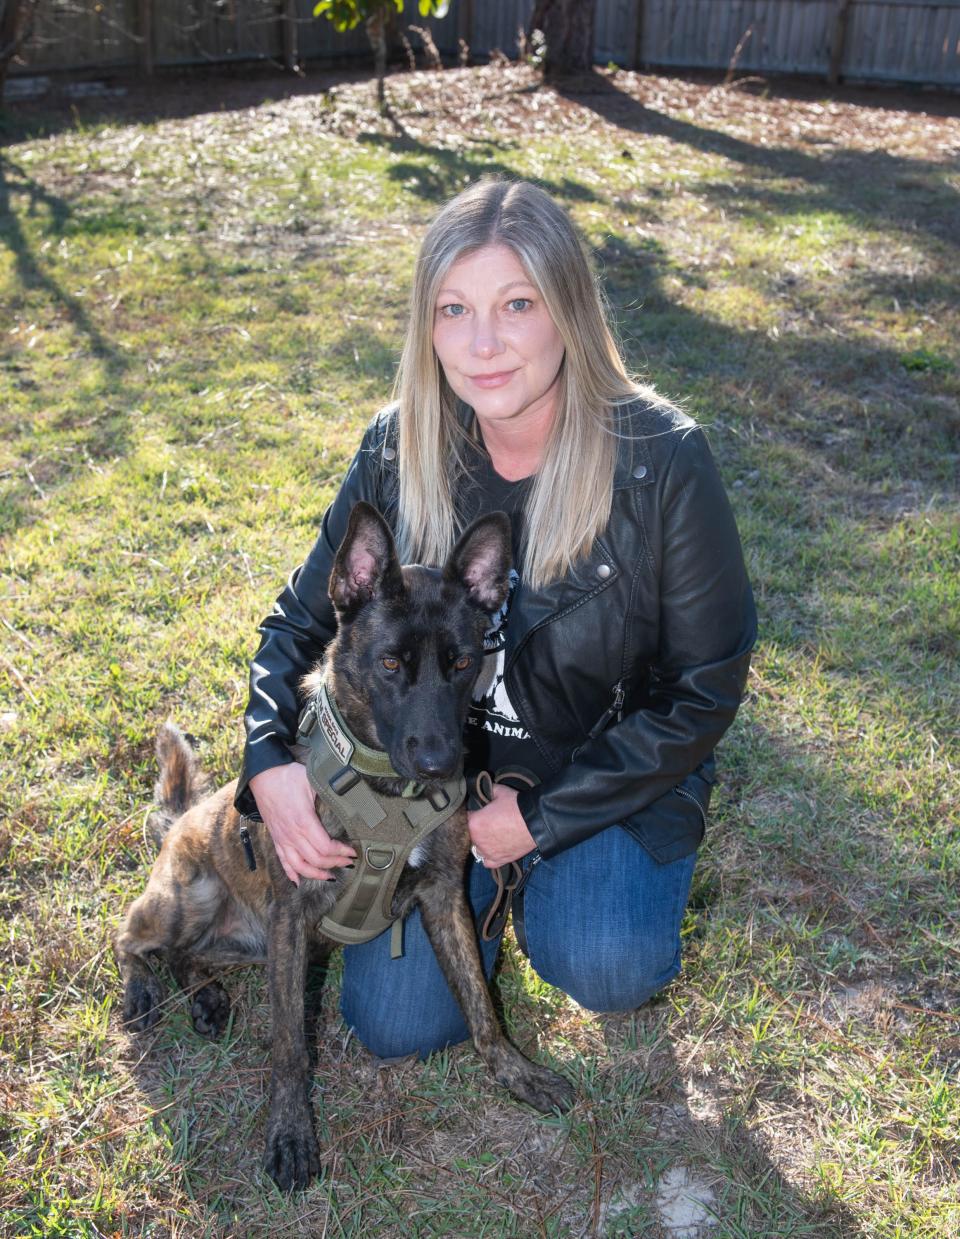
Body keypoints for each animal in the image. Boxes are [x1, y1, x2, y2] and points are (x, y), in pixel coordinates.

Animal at [115, 500, 574, 1189]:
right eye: (389, 664)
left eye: (463, 663)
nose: (442, 764)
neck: (385, 787)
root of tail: (180, 821)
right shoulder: (292, 918)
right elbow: (289, 1049)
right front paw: (290, 1134)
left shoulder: (444, 897)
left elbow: (480, 1004)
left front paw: (516, 1073)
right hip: (192, 901)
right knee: (131, 938)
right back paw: (144, 991)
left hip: (248, 945)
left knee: (185, 957)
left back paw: (208, 999)